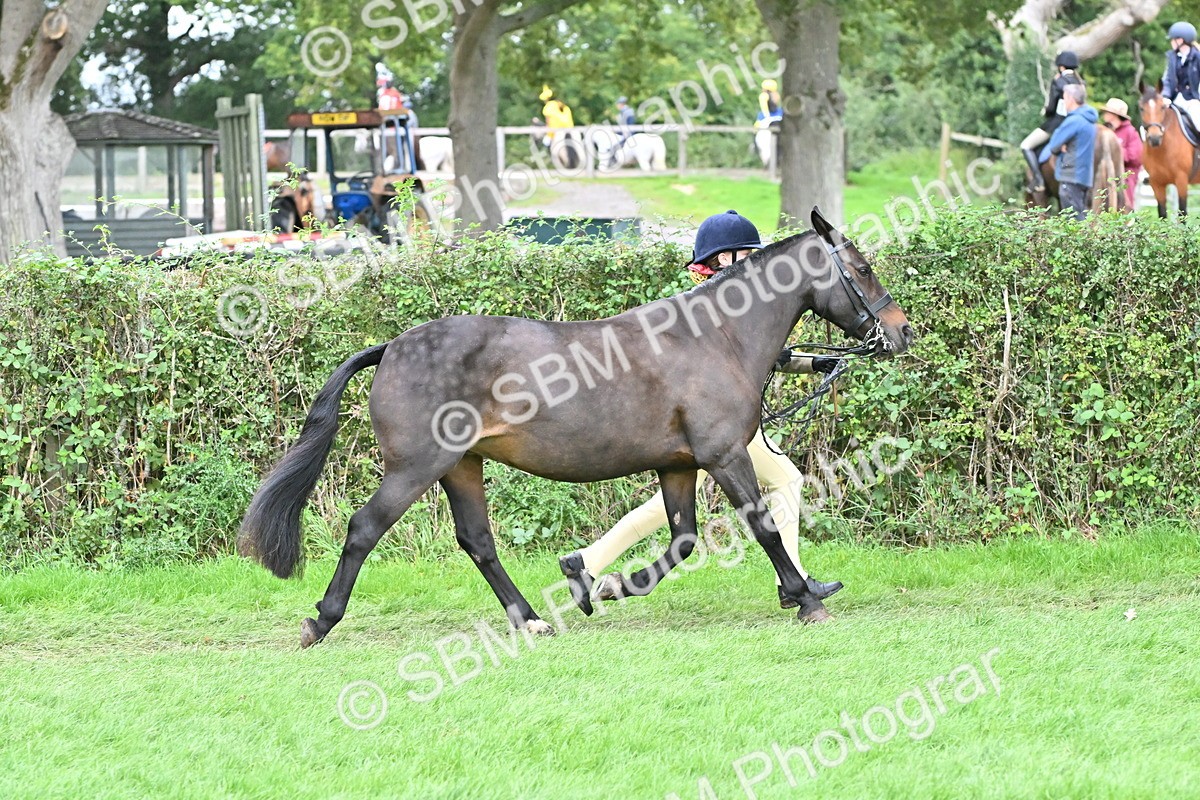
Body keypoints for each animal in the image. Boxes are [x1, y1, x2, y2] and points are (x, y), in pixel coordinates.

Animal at [238, 208, 912, 647]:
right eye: (862, 267)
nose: (901, 332)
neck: (714, 336)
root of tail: (393, 347)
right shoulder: (725, 456)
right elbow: (763, 526)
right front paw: (805, 599)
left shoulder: (677, 465)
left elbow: (681, 541)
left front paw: (603, 584)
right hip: (416, 467)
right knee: (364, 529)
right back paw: (321, 620)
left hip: (461, 465)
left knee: (477, 541)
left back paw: (531, 618)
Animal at [1137, 82, 1200, 219]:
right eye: (1141, 108)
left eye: (1162, 107)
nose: (1154, 138)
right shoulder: (1157, 184)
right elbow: (1162, 215)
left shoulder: (1181, 180)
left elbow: (1182, 213)